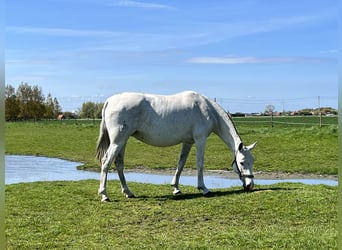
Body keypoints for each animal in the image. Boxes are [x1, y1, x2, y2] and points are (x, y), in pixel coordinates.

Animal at [95, 91, 255, 202]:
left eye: (252, 161)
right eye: (241, 162)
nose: (250, 185)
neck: (206, 108)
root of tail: (109, 101)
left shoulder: (188, 142)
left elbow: (181, 163)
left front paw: (176, 188)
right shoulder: (200, 140)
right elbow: (200, 164)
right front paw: (203, 188)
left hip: (123, 141)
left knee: (119, 164)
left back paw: (128, 192)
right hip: (117, 141)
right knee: (106, 162)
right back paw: (104, 195)